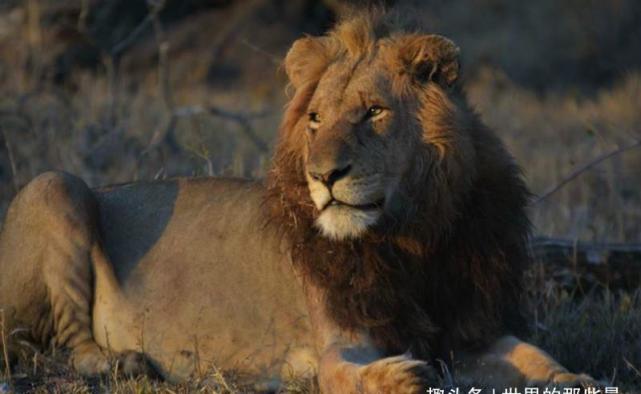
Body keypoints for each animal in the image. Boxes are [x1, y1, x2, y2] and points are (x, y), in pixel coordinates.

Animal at [1, 11, 600, 390]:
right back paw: (124, 363)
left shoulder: (471, 333)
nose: (324, 175)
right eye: (315, 119)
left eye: (373, 112)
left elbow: (533, 355)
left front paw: (577, 378)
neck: (413, 240)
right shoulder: (340, 339)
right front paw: (401, 376)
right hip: (55, 185)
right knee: (70, 345)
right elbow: (347, 373)